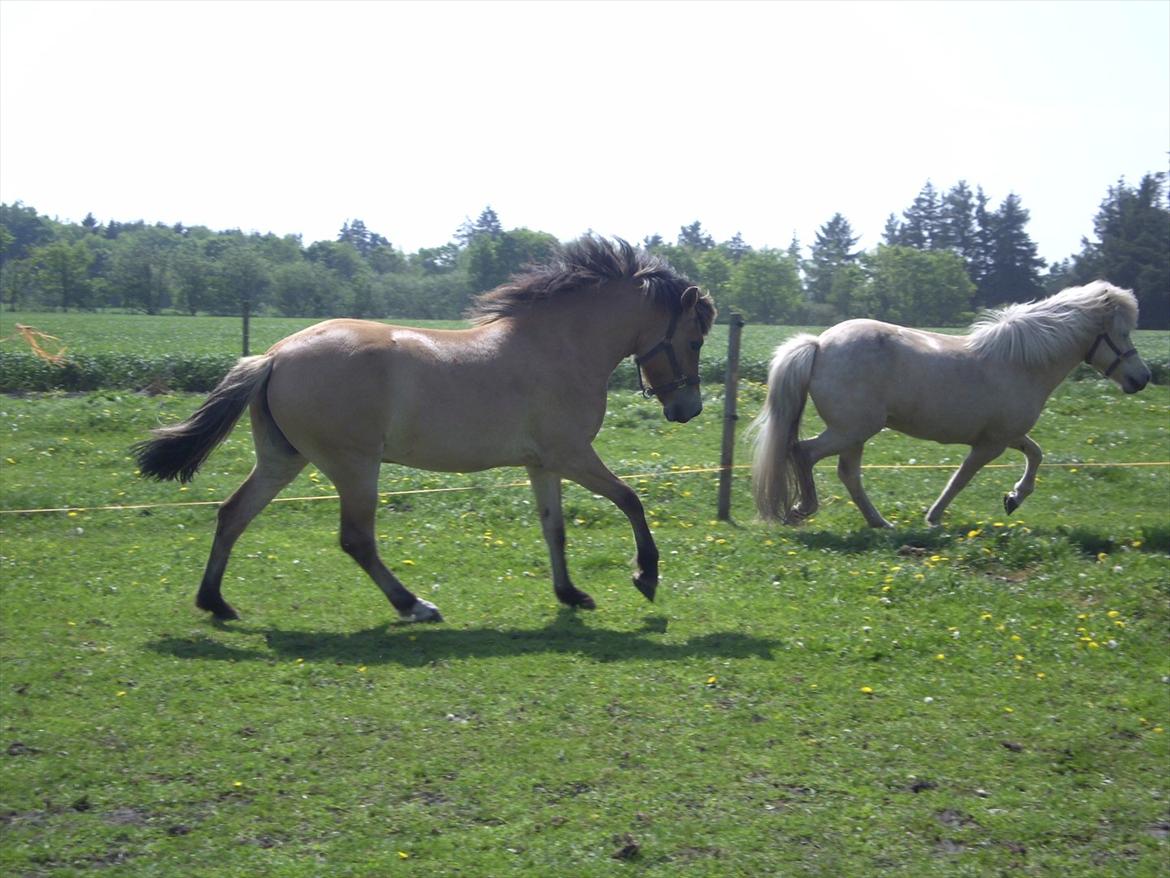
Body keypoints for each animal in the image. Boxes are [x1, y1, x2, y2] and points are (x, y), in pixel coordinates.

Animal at [132, 238, 716, 627]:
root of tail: (274, 355)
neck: (560, 347)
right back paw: (414, 605)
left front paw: (571, 594)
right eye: (694, 339)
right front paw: (646, 576)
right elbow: (631, 499)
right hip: (353, 465)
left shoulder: (542, 463)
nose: (688, 409)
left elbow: (555, 529)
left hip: (284, 459)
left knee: (233, 514)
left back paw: (216, 602)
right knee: (356, 539)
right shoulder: (572, 454)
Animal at [748, 282, 1151, 529]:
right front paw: (934, 517)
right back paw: (802, 509)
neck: (1019, 363)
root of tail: (818, 344)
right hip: (852, 430)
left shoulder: (1006, 435)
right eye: (1122, 333)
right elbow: (961, 479)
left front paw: (1014, 498)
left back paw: (879, 522)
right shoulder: (990, 444)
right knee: (804, 453)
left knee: (847, 475)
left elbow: (1036, 454)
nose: (1142, 378)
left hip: (855, 434)